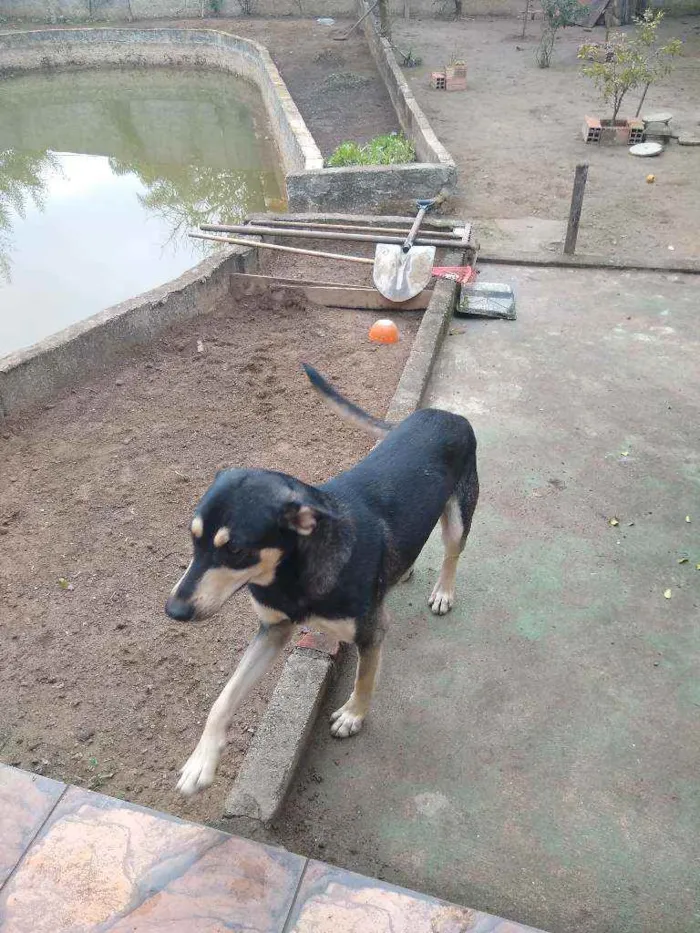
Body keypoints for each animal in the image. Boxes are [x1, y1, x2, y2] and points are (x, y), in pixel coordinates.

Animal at [167, 364, 478, 792]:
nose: (173, 610)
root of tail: (444, 413)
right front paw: (201, 761)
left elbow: (365, 677)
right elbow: (223, 698)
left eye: (236, 551)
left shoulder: (372, 632)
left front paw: (353, 715)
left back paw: (444, 591)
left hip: (460, 515)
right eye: (192, 537)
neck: (291, 574)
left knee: (451, 552)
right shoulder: (273, 630)